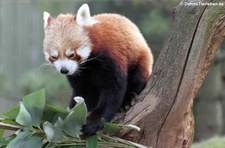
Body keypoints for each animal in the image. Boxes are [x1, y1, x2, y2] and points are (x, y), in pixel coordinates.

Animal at [42, 3, 153, 136]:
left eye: (71, 55)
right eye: (54, 56)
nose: (64, 70)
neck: (88, 64)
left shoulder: (110, 58)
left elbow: (112, 91)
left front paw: (93, 122)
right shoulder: (78, 75)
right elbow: (83, 93)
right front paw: (78, 113)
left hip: (141, 58)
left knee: (138, 77)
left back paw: (128, 99)